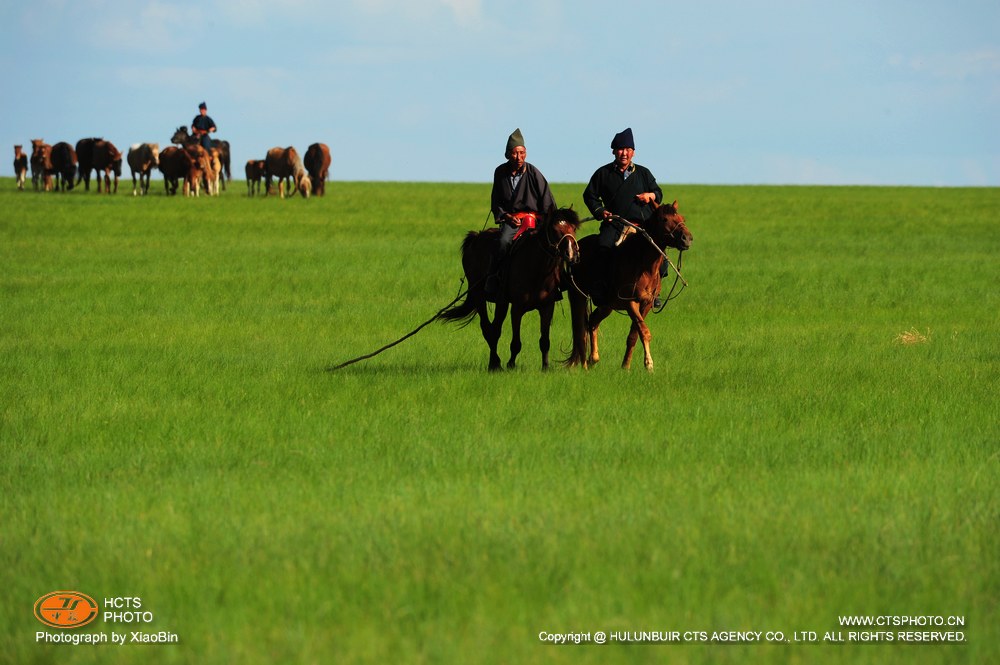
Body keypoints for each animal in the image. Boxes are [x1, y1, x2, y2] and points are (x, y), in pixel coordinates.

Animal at [440, 208, 584, 370]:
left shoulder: (547, 306)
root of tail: (476, 237)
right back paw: (494, 363)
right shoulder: (517, 307)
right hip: (479, 295)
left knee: (495, 328)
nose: (571, 254)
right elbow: (516, 342)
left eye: (573, 228)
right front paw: (511, 365)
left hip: (501, 302)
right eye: (554, 229)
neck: (536, 269)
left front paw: (545, 367)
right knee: (488, 329)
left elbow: (545, 341)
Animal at [568, 200, 692, 370]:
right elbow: (644, 332)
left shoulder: (646, 304)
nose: (687, 239)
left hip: (607, 305)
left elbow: (634, 335)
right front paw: (649, 364)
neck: (643, 265)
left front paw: (625, 366)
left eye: (682, 218)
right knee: (580, 331)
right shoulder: (630, 302)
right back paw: (584, 366)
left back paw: (594, 358)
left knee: (592, 321)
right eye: (664, 219)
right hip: (577, 296)